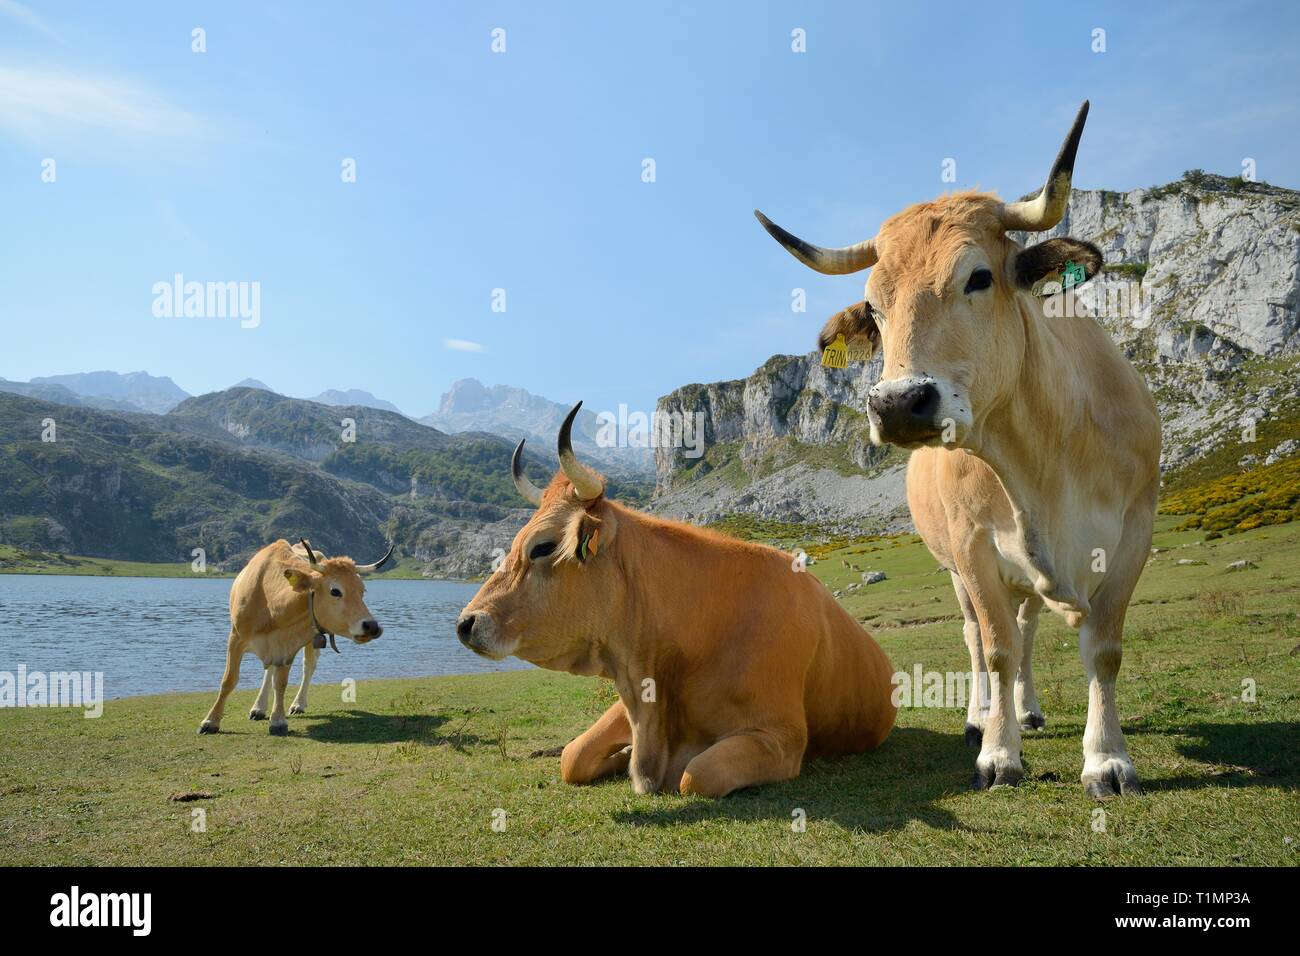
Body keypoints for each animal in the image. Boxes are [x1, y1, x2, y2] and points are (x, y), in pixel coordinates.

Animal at [197, 541, 390, 738]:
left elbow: (280, 684)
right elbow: (229, 680)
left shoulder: (287, 647)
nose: (372, 626)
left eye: (362, 591)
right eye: (335, 591)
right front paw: (210, 722)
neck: (270, 605)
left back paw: (298, 704)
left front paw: (278, 721)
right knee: (269, 671)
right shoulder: (236, 638)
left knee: (308, 666)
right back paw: (258, 708)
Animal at [454, 405, 894, 801]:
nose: (466, 623)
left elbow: (696, 775)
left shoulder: (781, 736)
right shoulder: (629, 701)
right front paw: (622, 754)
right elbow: (572, 756)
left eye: (542, 546)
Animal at [759, 102, 1164, 801]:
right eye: (874, 306)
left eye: (978, 277)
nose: (898, 403)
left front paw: (1108, 760)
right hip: (956, 566)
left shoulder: (1134, 531)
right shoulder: (973, 546)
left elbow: (1102, 649)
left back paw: (1029, 709)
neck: (1045, 458)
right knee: (981, 636)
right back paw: (985, 717)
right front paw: (998, 753)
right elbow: (995, 649)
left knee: (1028, 627)